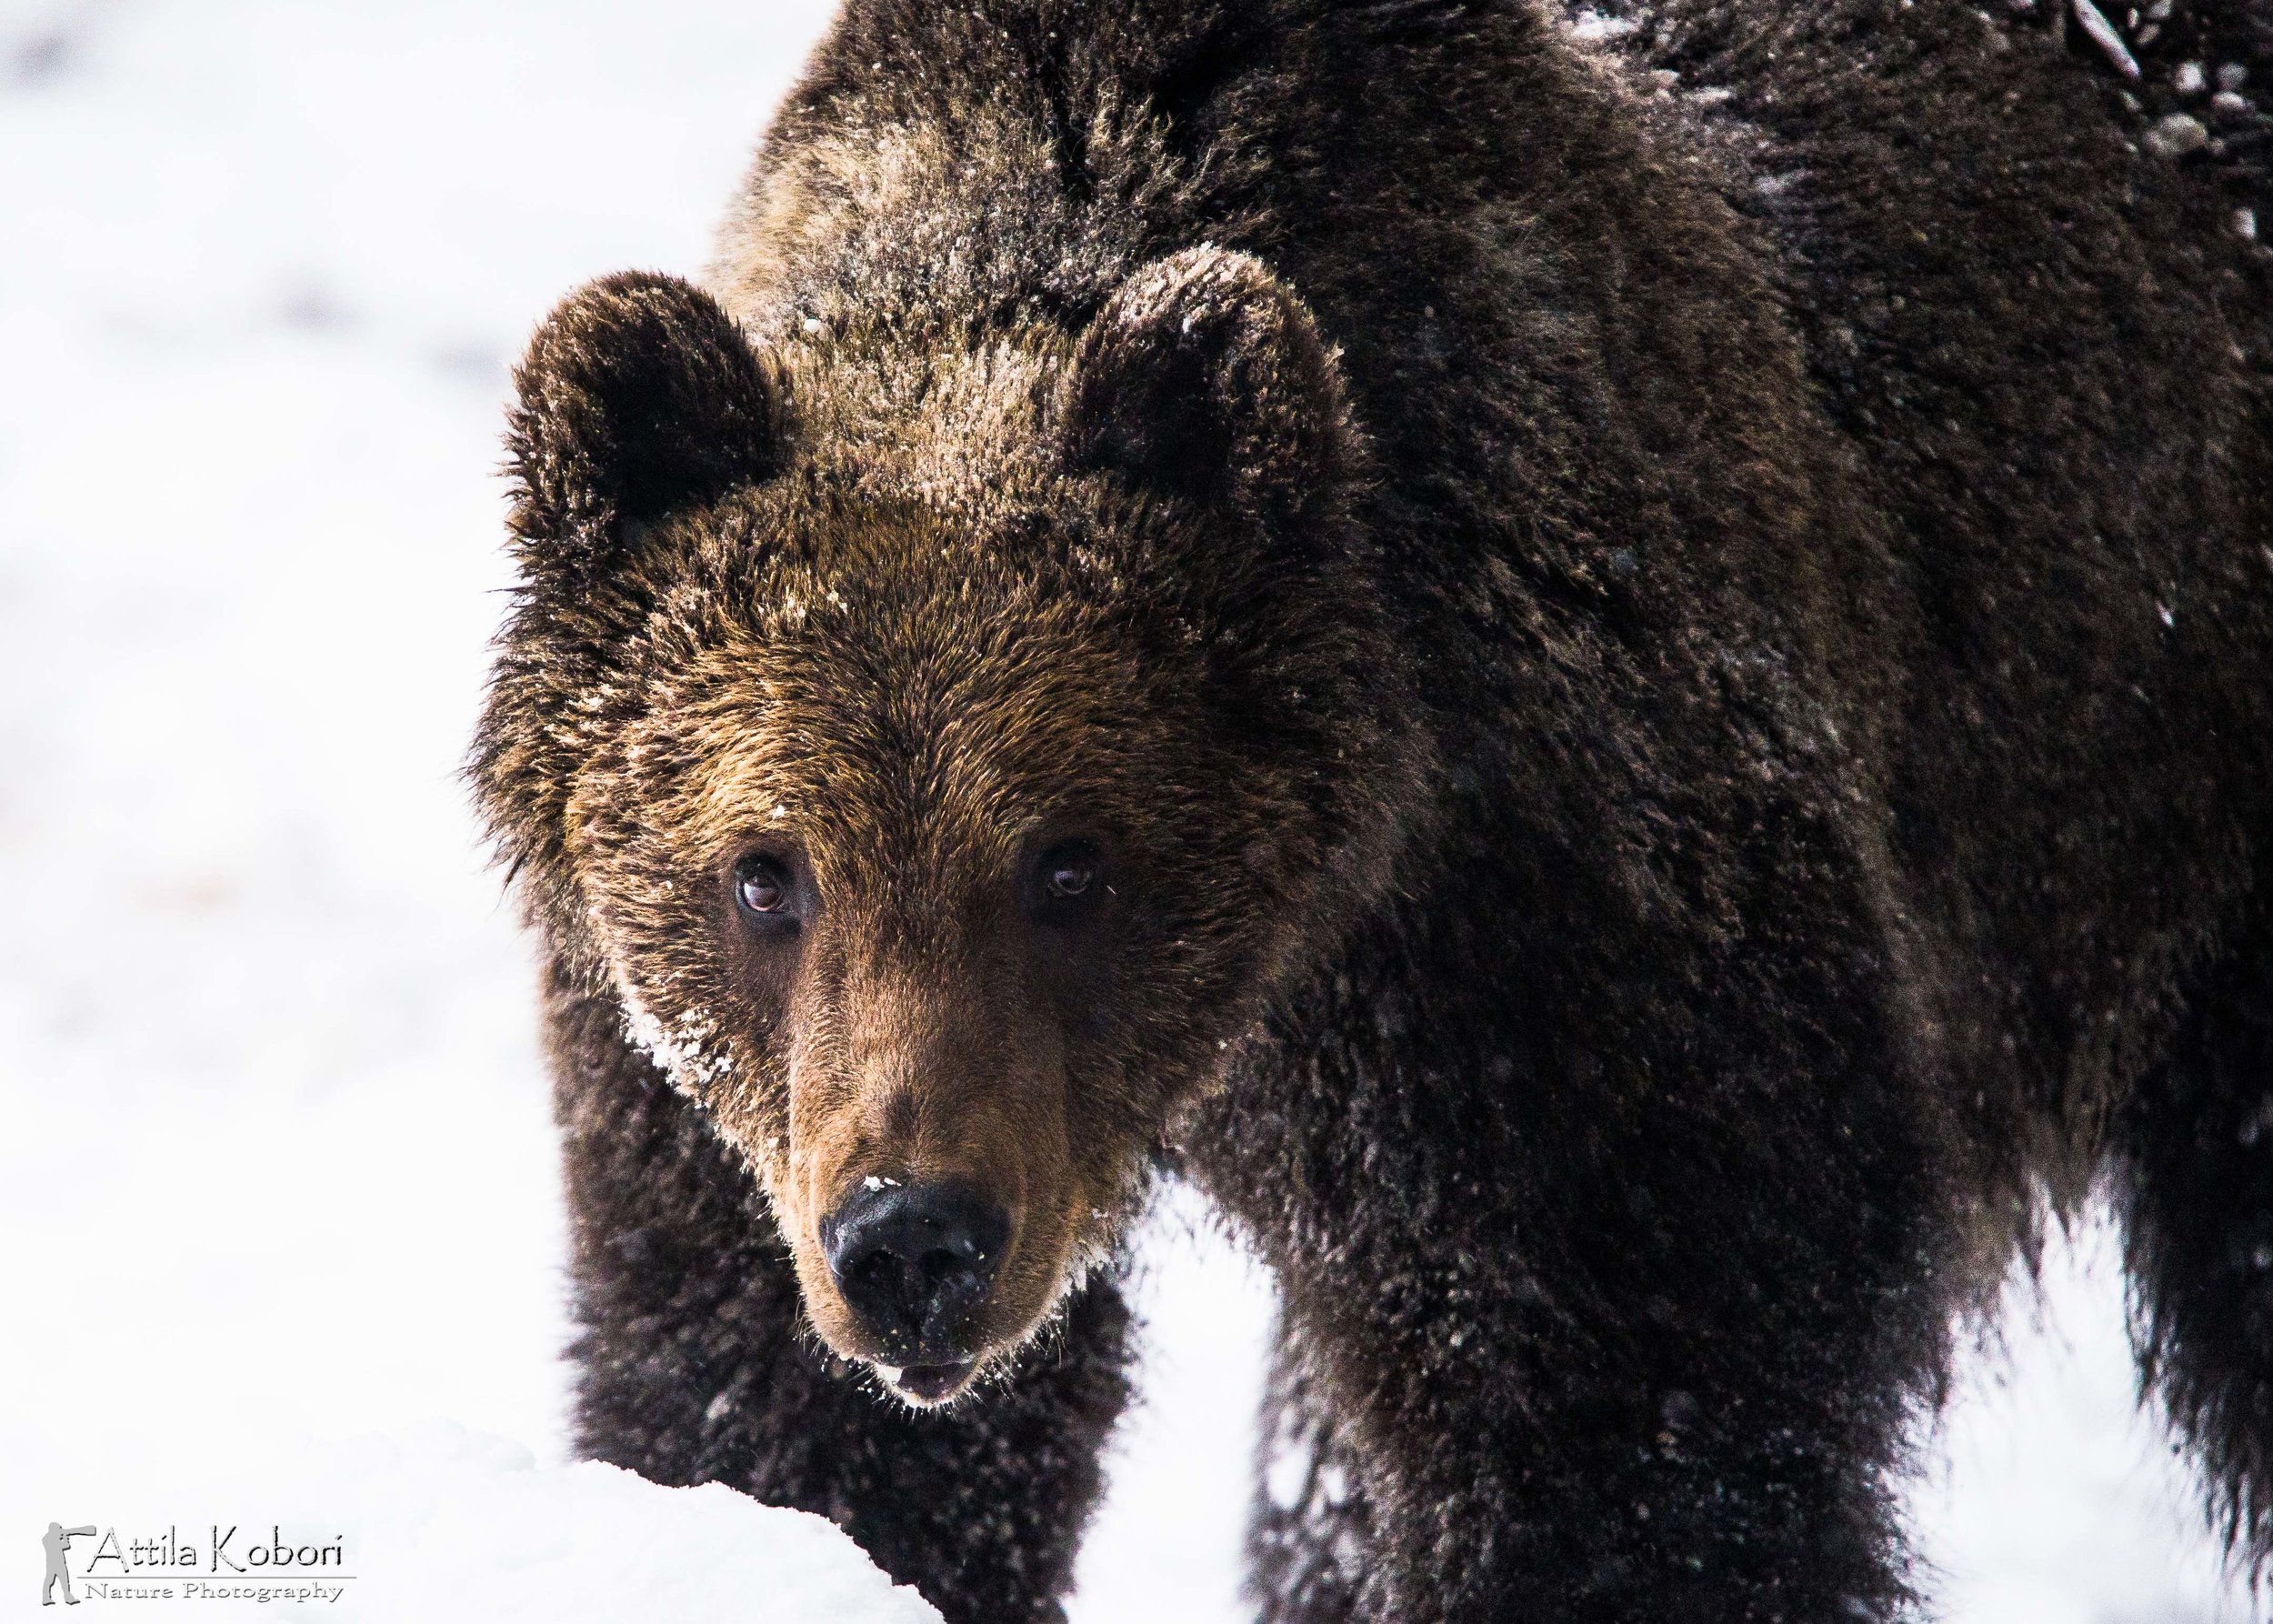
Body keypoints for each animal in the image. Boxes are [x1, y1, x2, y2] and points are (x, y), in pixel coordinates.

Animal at [470, 3, 2264, 1619]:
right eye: (768, 876)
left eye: (1069, 862)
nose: (915, 1241)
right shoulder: (715, 1101)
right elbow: (778, 1417)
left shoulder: (1554, 927)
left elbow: (1634, 1420)